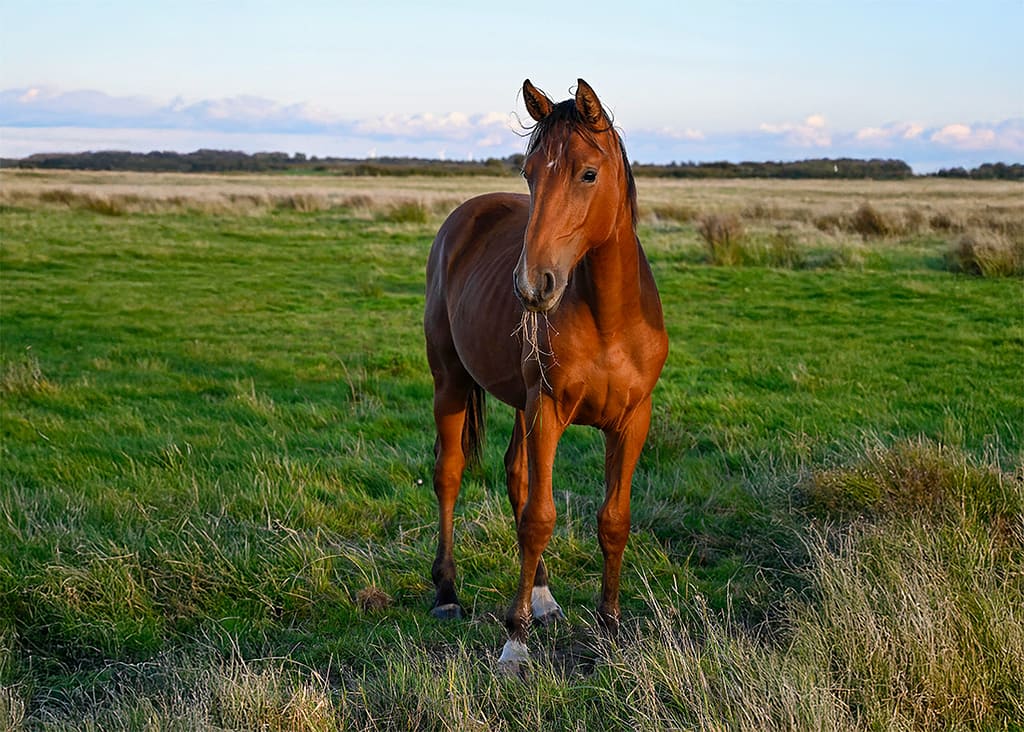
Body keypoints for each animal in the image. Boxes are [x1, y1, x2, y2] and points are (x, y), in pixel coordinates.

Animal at [424, 78, 668, 672]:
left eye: (588, 173)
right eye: (529, 172)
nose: (533, 285)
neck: (610, 317)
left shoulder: (632, 421)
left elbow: (613, 520)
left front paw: (609, 626)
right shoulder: (549, 411)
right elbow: (540, 516)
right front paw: (515, 641)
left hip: (518, 403)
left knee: (515, 476)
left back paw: (541, 593)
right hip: (452, 383)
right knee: (450, 473)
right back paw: (447, 592)